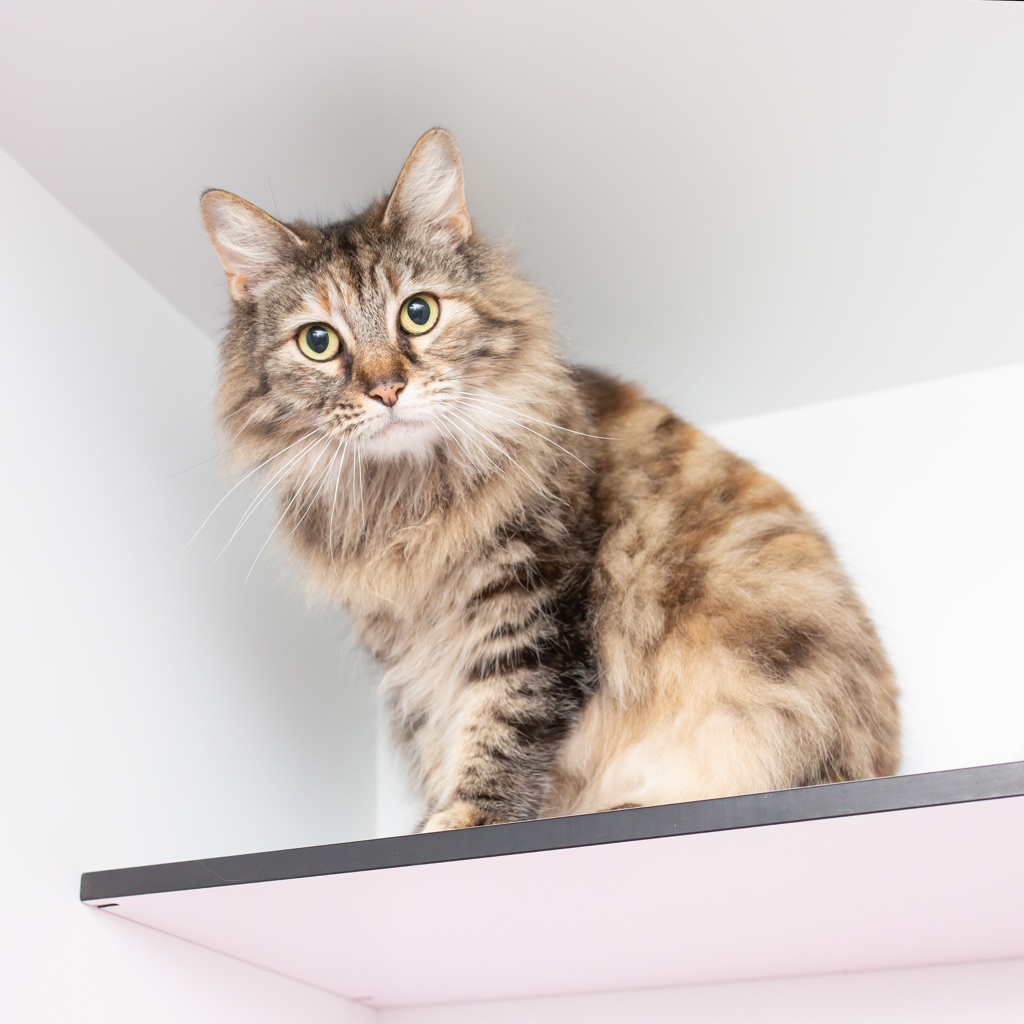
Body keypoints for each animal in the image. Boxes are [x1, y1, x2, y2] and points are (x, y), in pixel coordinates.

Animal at [200, 128, 900, 833]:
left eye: (418, 312)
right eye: (318, 341)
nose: (387, 389)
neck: (410, 504)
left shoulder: (534, 604)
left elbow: (501, 723)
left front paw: (466, 816)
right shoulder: (409, 651)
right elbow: (443, 738)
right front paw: (438, 810)